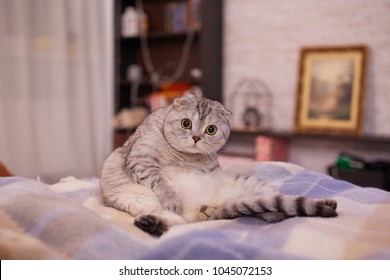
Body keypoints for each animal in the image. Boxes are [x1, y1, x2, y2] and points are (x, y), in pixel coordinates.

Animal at [101, 94, 338, 236]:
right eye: (186, 123)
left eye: (211, 130)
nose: (196, 138)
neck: (185, 157)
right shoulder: (141, 161)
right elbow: (162, 182)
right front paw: (173, 198)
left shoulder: (213, 169)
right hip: (143, 201)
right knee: (176, 222)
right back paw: (150, 223)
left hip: (254, 188)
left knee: (279, 202)